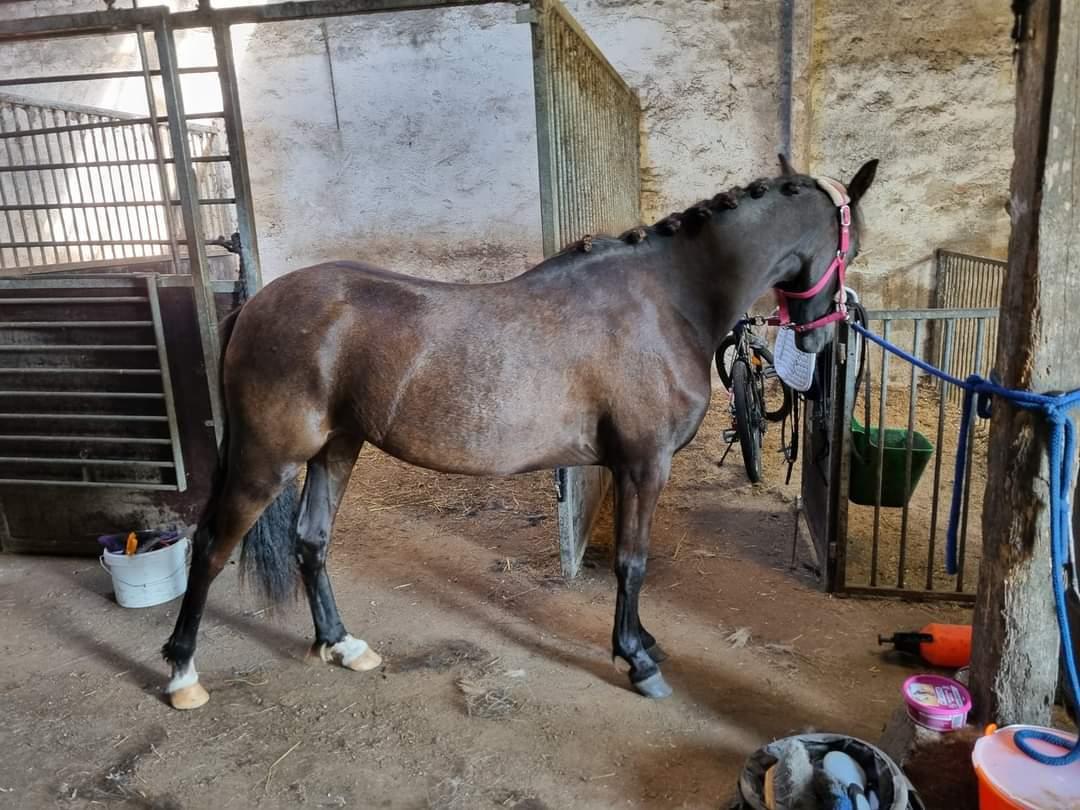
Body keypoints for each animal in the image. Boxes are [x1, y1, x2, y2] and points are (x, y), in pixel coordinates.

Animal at [162, 154, 878, 710]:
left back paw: (342, 644)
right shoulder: (643, 464)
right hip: (268, 456)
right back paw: (182, 673)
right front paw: (637, 659)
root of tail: (256, 303)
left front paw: (642, 643)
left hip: (336, 449)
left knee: (311, 540)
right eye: (853, 245)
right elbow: (633, 562)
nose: (822, 338)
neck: (667, 299)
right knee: (211, 545)